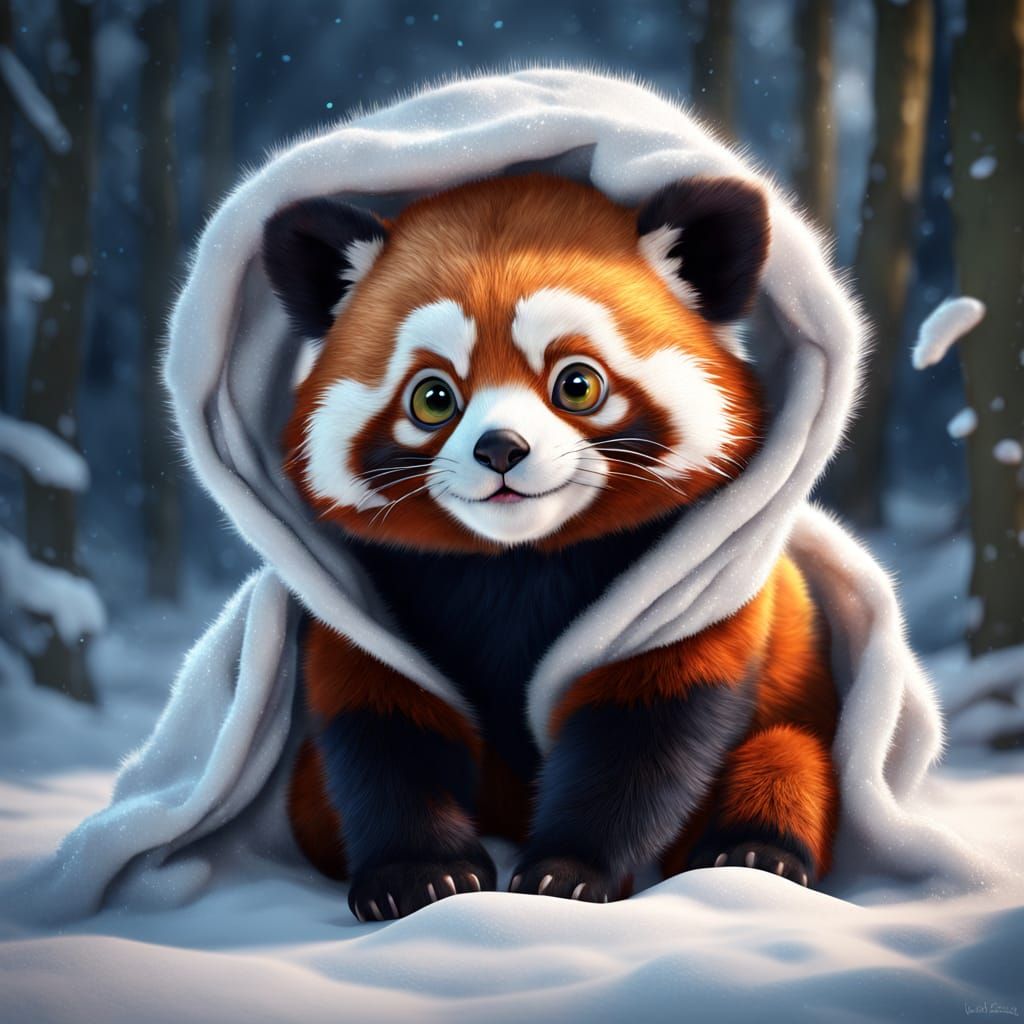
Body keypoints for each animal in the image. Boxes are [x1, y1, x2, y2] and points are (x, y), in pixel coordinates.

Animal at [262, 172, 839, 922]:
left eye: (578, 384)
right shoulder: (359, 600)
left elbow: (642, 738)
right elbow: (382, 728)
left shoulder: (702, 588)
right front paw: (418, 877)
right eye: (433, 398)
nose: (501, 448)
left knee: (788, 759)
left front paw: (567, 875)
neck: (521, 561)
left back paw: (755, 853)